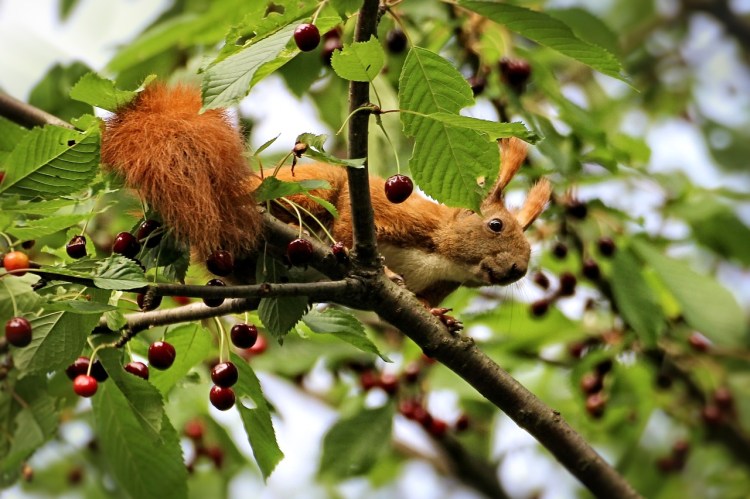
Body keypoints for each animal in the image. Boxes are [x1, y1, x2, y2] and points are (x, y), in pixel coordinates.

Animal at [100, 83, 550, 306]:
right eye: (496, 225)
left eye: (530, 249)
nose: (518, 269)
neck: (443, 258)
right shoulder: (394, 211)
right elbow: (353, 224)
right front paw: (382, 272)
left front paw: (444, 320)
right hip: (308, 190)